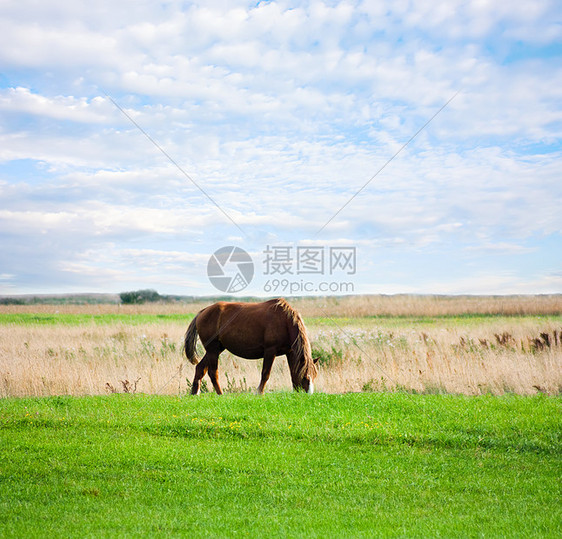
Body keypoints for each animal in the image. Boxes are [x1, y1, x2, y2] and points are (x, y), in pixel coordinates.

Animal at [183, 298, 316, 394]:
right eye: (305, 377)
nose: (307, 394)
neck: (285, 322)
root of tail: (203, 311)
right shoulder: (270, 351)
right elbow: (265, 374)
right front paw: (259, 393)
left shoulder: (289, 352)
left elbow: (292, 372)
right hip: (213, 350)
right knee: (213, 373)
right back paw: (220, 394)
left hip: (215, 350)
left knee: (200, 368)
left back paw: (194, 393)